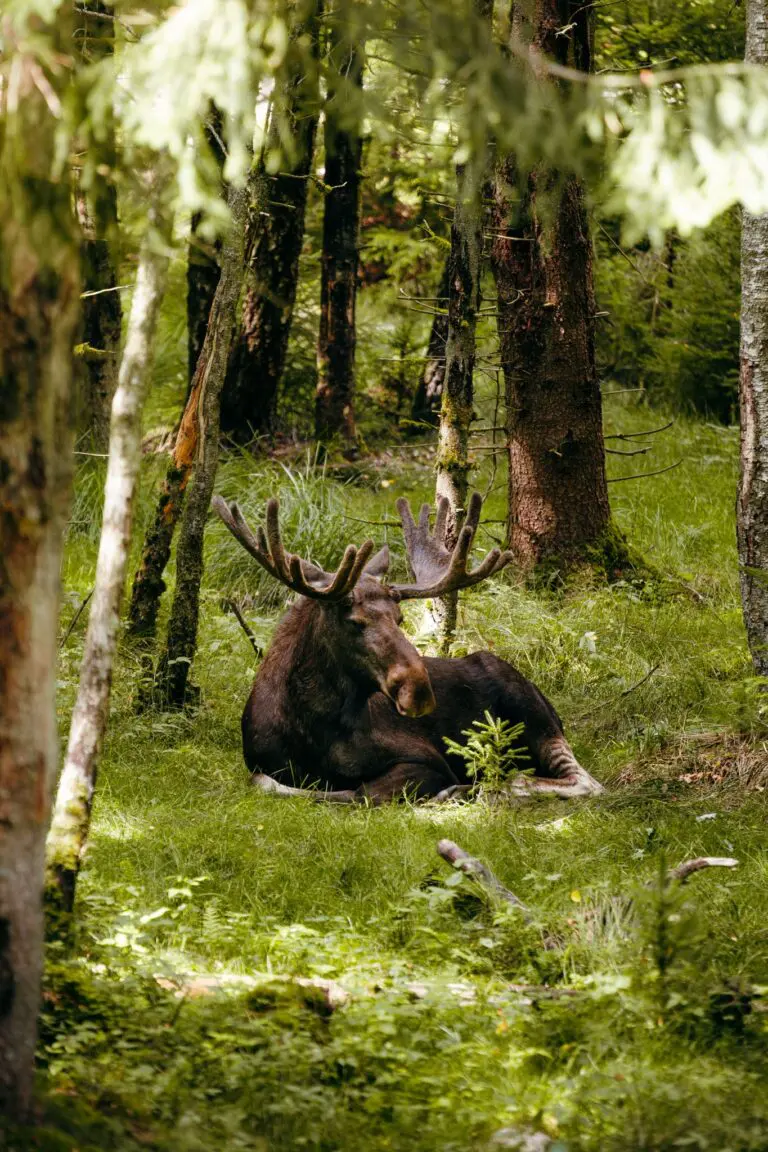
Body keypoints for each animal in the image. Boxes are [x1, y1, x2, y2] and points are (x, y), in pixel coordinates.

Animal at [211, 491, 603, 804]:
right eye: (354, 622)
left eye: (400, 618)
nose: (419, 690)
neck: (310, 728)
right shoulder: (260, 763)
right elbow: (265, 782)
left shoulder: (426, 760)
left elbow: (358, 793)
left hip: (534, 716)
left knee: (577, 781)